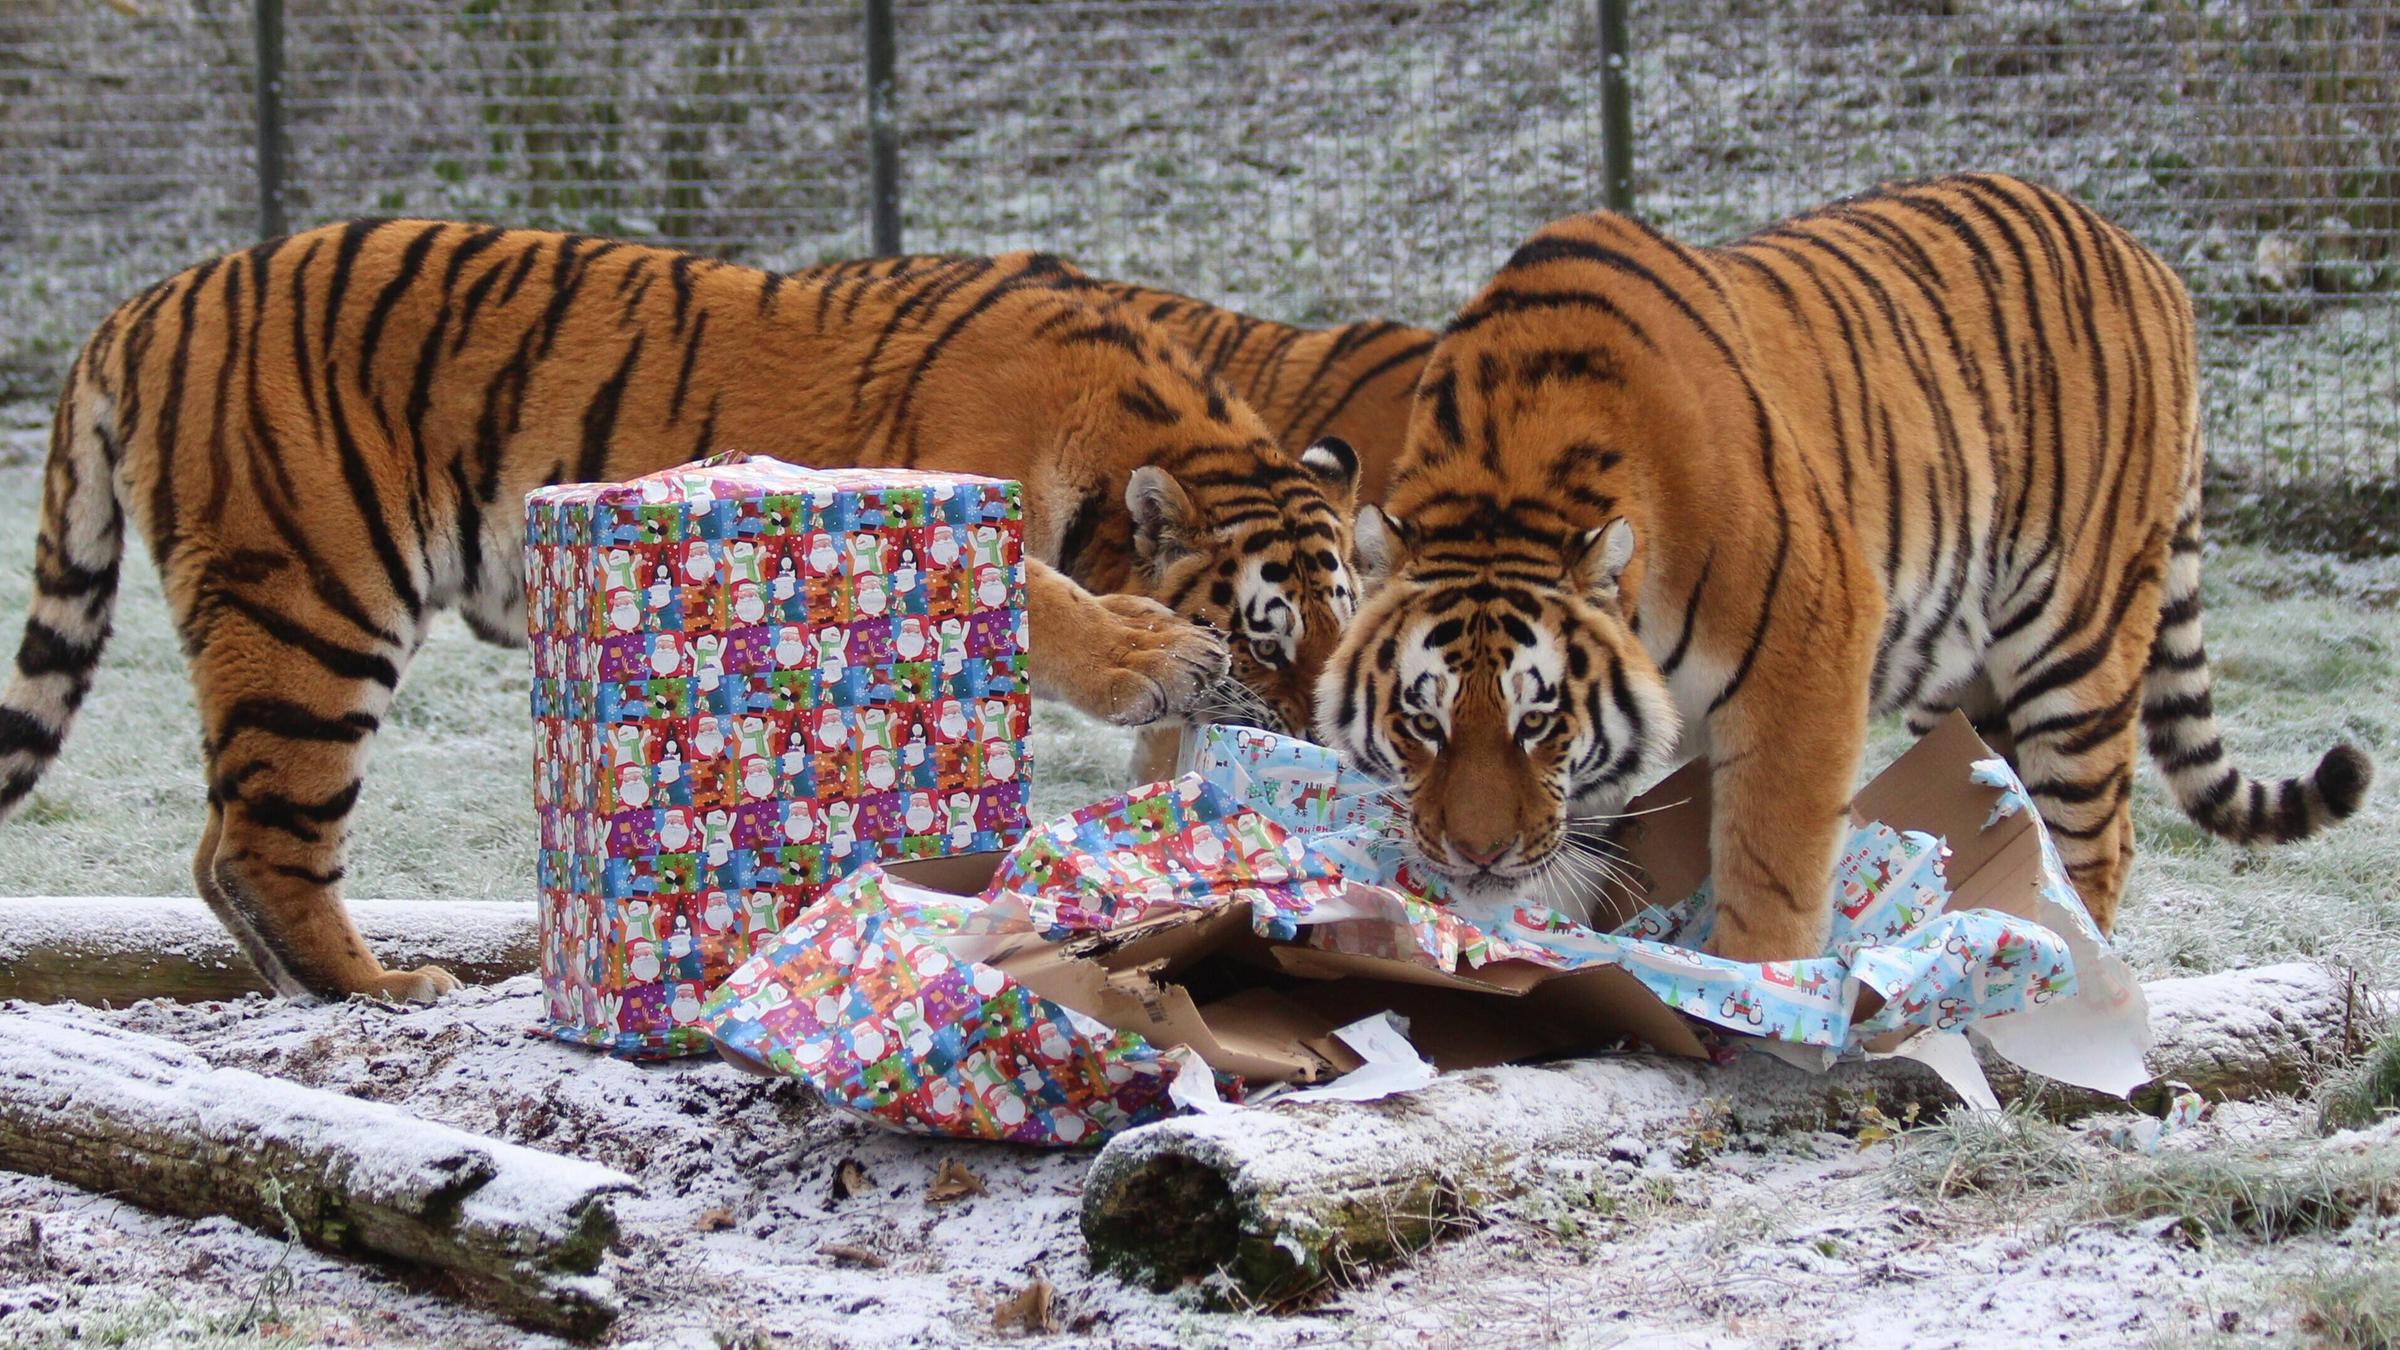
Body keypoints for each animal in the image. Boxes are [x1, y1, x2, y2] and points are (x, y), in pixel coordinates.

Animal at [0, 224, 1362, 1002]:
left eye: (1342, 635)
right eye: (1265, 635)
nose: (1328, 748)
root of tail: (138, 306)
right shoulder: (936, 486)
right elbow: (1052, 603)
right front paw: (1156, 649)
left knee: (214, 848)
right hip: (310, 604)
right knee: (260, 839)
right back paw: (384, 988)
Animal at [1318, 173, 2372, 962]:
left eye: (1538, 721)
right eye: (1422, 721)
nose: (1475, 853)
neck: (1507, 486)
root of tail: (2151, 260)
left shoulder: (1808, 652)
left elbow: (1770, 866)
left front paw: (1757, 994)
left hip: (2079, 640)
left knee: (2097, 838)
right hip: (1973, 682)